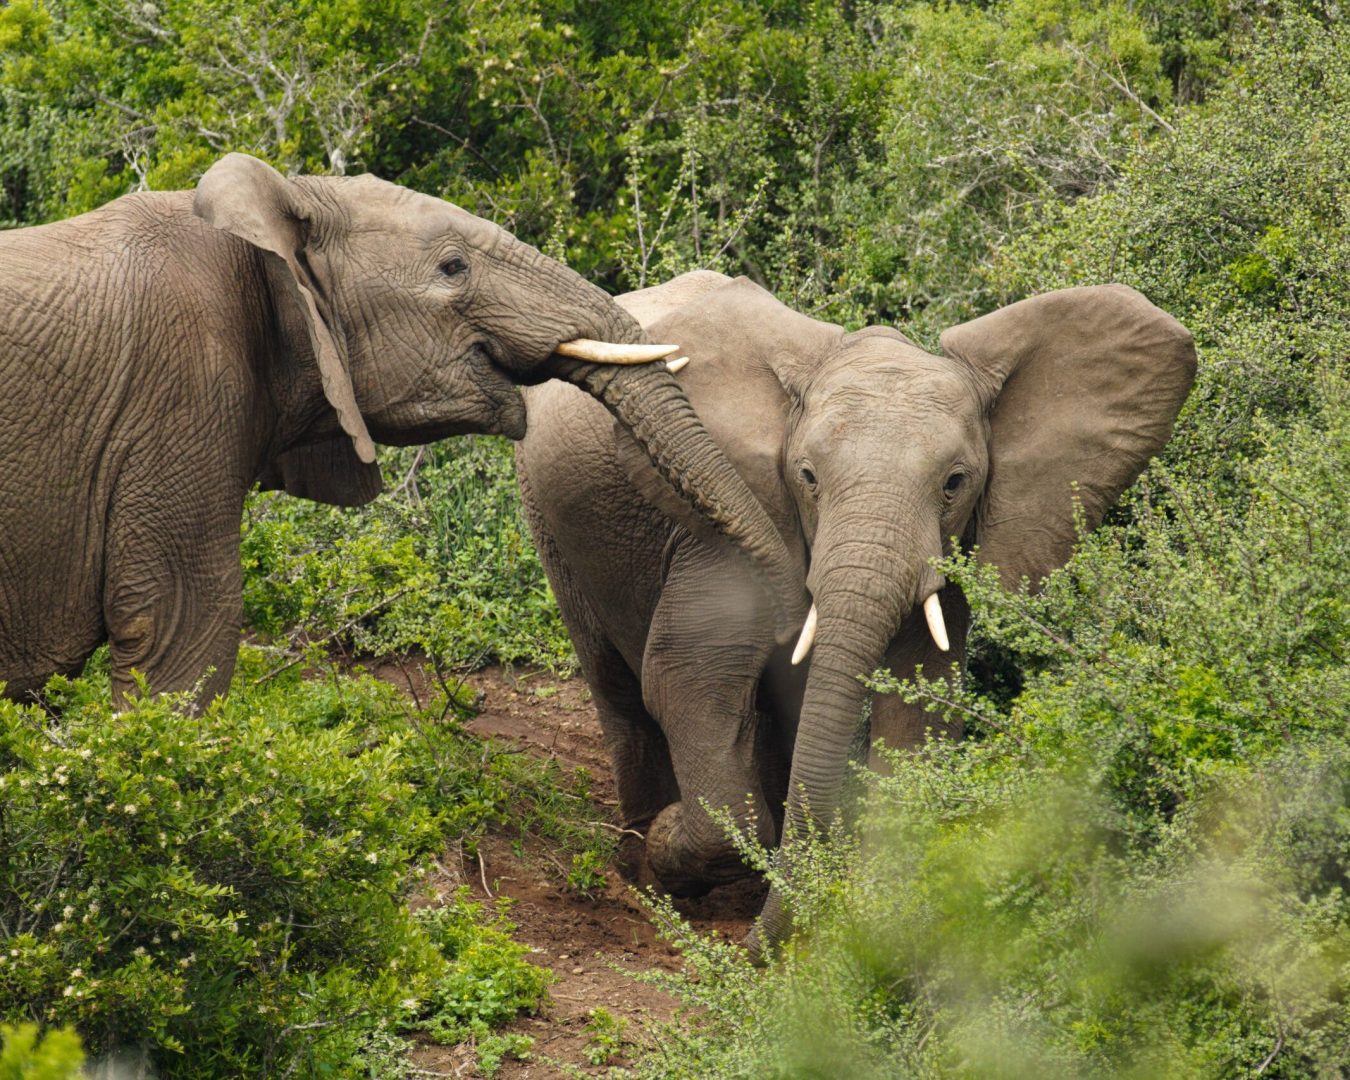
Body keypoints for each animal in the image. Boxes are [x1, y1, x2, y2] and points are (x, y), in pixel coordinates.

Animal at [516, 270, 1196, 951]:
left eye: (955, 483)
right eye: (808, 477)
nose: (753, 949)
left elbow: (921, 701)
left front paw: (879, 914)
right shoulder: (725, 520)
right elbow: (688, 678)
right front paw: (677, 841)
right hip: (552, 523)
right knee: (616, 683)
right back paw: (642, 864)